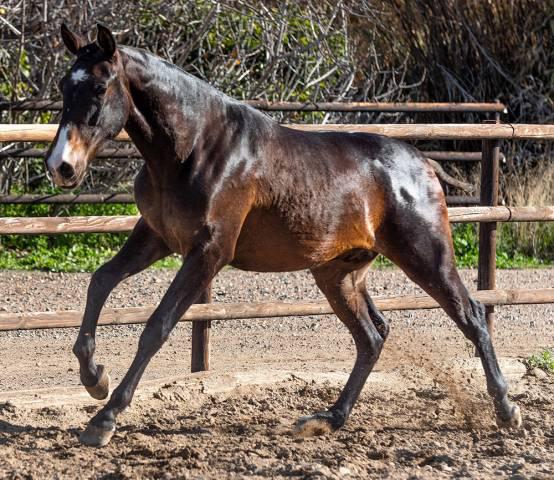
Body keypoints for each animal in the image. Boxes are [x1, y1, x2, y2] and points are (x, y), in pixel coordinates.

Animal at [45, 24, 520, 448]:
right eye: (66, 86)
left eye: (100, 87)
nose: (61, 166)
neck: (194, 149)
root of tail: (422, 164)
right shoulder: (156, 237)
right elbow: (101, 281)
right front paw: (94, 378)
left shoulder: (208, 253)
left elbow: (156, 326)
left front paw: (104, 418)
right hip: (338, 275)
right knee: (372, 336)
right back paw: (327, 419)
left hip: (426, 256)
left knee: (471, 315)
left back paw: (505, 410)